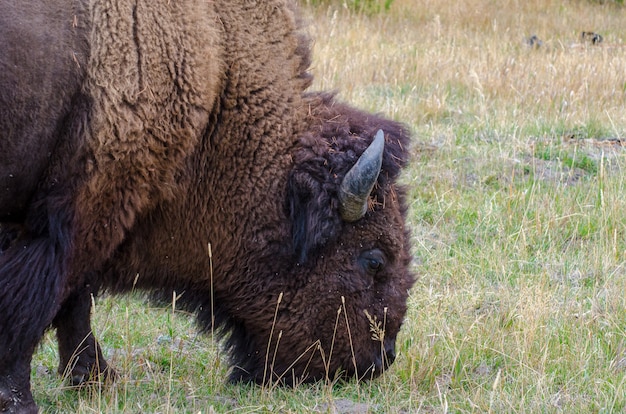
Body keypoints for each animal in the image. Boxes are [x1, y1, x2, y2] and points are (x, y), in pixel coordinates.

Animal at [0, 0, 414, 410]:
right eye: (374, 260)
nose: (382, 358)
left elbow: (73, 302)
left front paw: (98, 381)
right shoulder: (74, 217)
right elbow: (37, 306)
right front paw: (21, 399)